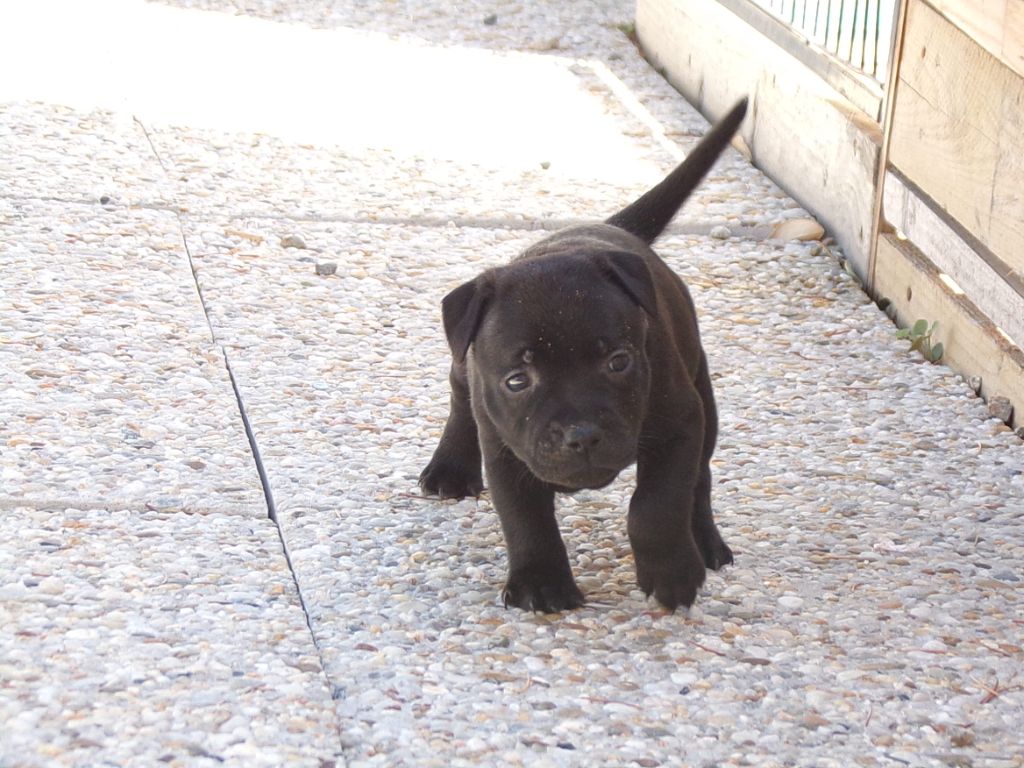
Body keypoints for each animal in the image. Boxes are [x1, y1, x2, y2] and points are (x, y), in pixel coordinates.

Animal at [420, 99, 748, 613]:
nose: (583, 435)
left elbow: (657, 503)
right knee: (459, 402)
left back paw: (706, 543)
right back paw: (449, 468)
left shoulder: (680, 423)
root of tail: (610, 226)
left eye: (618, 362)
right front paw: (542, 584)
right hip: (463, 372)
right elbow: (525, 517)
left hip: (704, 401)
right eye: (517, 381)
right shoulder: (504, 448)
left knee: (700, 478)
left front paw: (672, 574)